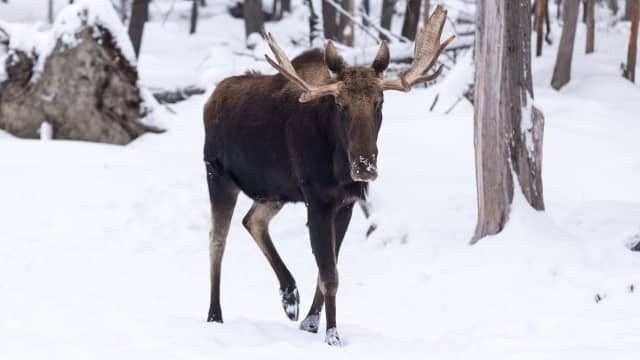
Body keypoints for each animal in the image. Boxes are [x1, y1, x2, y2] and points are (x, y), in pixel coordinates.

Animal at [202, 6, 452, 346]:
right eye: (341, 104)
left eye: (379, 102)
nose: (364, 166)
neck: (338, 168)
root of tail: (209, 100)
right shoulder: (318, 199)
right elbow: (330, 275)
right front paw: (332, 334)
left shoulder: (344, 203)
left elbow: (327, 268)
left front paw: (310, 321)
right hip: (218, 175)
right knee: (217, 241)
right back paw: (215, 314)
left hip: (275, 192)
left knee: (252, 220)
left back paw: (289, 296)